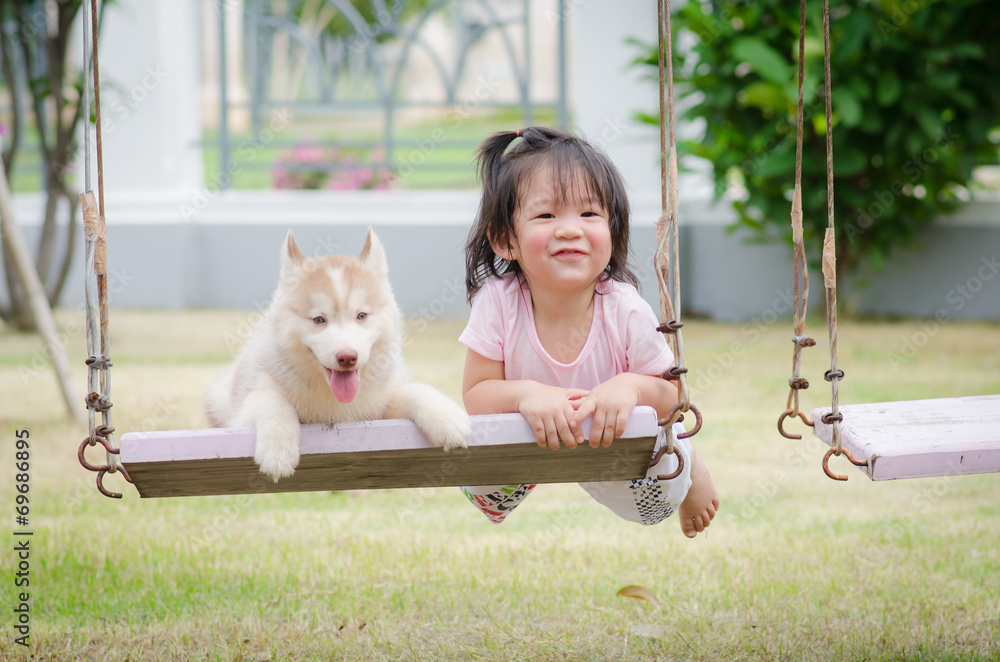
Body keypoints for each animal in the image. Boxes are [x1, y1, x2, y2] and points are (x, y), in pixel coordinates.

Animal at [204, 228, 472, 482]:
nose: (347, 357)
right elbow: (271, 401)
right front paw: (277, 452)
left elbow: (412, 390)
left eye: (361, 315)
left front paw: (447, 417)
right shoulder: (243, 413)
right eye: (318, 319)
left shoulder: (381, 410)